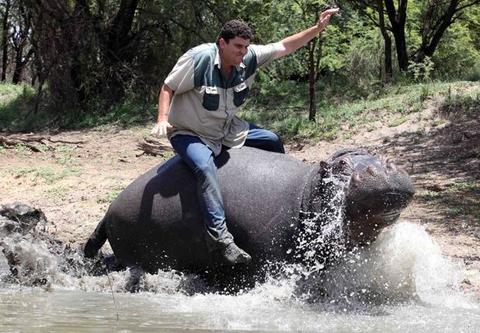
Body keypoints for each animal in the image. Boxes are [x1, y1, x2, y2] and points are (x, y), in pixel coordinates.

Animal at [84, 146, 414, 282]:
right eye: (342, 166)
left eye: (379, 156)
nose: (383, 168)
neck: (305, 194)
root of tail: (108, 210)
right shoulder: (269, 257)